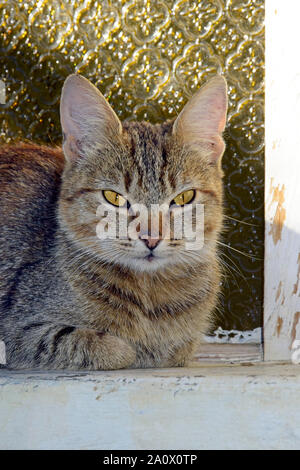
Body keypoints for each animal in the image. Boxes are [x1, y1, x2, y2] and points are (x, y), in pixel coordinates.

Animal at [0, 73, 226, 370]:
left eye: (184, 197)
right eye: (114, 197)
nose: (151, 238)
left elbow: (176, 349)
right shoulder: (19, 330)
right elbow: (106, 346)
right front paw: (129, 349)